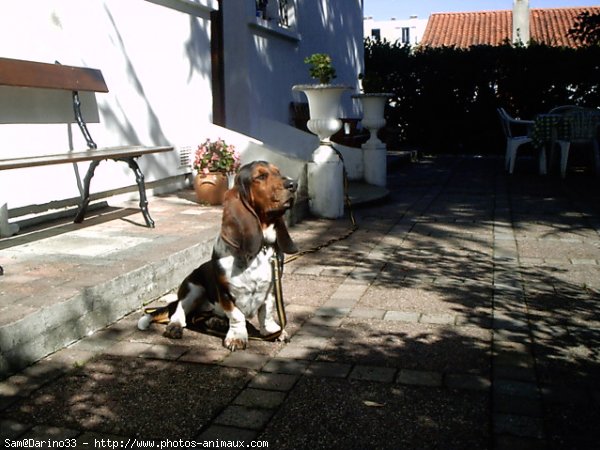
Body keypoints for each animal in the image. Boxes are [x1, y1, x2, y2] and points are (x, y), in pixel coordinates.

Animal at [136, 162, 298, 352]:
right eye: (261, 176)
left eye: (278, 172)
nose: (294, 184)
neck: (261, 248)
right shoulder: (226, 292)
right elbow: (237, 316)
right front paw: (237, 338)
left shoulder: (271, 289)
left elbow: (267, 313)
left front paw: (272, 331)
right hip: (192, 288)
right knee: (179, 313)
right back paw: (176, 327)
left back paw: (215, 322)